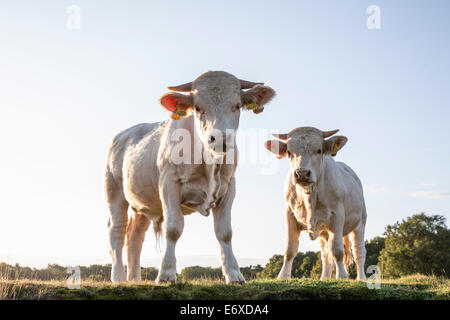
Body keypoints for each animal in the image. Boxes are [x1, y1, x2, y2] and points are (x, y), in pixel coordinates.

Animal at [105, 70, 276, 282]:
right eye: (197, 107)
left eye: (237, 105)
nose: (220, 138)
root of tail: (123, 134)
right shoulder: (169, 184)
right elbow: (173, 228)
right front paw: (166, 274)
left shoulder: (229, 187)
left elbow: (225, 232)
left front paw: (234, 274)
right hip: (115, 193)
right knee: (117, 232)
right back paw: (118, 277)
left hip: (143, 203)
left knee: (134, 236)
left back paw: (134, 279)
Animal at [266, 127, 368, 280]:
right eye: (289, 152)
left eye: (319, 150)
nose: (302, 173)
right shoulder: (289, 213)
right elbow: (290, 249)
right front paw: (283, 276)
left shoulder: (337, 215)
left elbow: (337, 249)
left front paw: (342, 275)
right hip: (324, 231)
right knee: (325, 254)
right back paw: (324, 277)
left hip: (360, 222)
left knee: (358, 251)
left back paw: (361, 278)